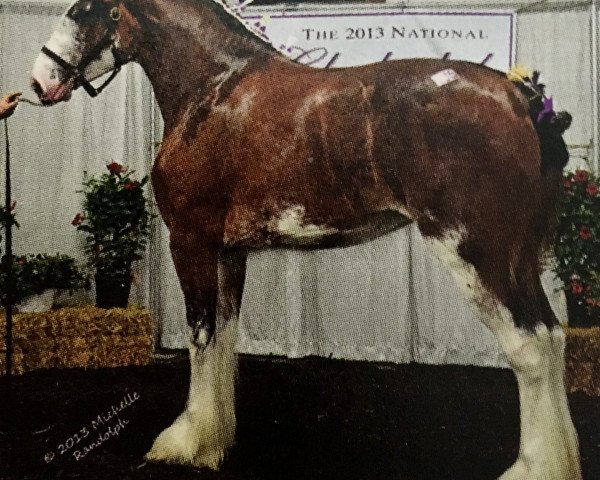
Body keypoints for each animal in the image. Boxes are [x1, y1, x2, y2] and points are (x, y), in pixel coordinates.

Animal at [29, 1, 580, 478]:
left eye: (82, 10)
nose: (40, 79)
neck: (216, 91)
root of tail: (520, 99)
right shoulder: (229, 253)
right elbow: (225, 337)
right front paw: (216, 440)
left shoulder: (191, 243)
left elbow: (200, 338)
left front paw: (185, 442)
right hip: (516, 259)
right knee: (552, 338)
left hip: (473, 252)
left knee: (529, 347)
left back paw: (532, 468)